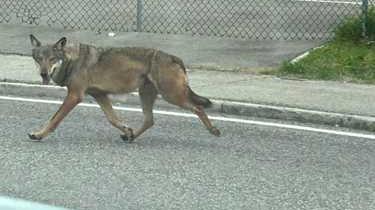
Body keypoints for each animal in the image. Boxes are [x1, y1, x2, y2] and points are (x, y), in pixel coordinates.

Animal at [29, 35, 222, 142]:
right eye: (39, 59)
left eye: (52, 59)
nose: (44, 74)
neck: (71, 61)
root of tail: (175, 57)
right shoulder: (99, 95)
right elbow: (113, 119)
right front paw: (127, 131)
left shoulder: (75, 96)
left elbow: (54, 119)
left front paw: (38, 134)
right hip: (147, 95)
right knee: (150, 120)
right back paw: (131, 137)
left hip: (172, 96)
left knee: (198, 107)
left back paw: (214, 130)